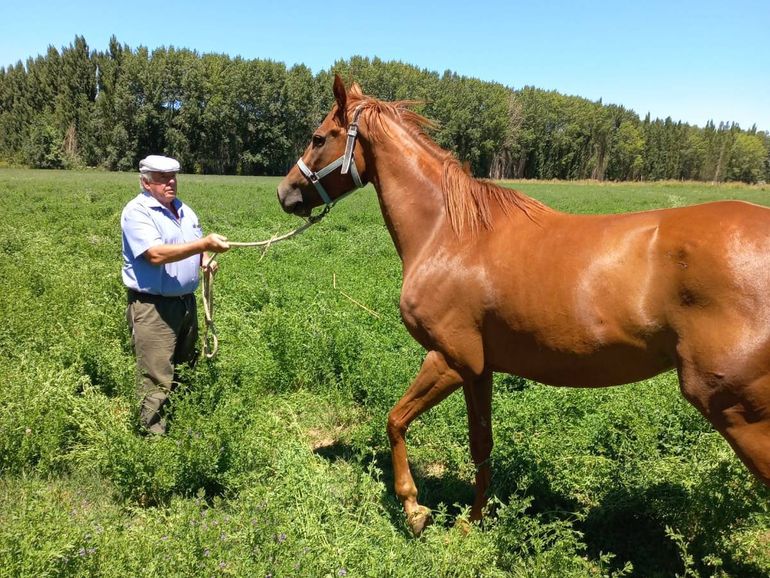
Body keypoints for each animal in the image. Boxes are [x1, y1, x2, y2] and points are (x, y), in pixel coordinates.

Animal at [278, 74, 770, 532]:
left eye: (319, 137)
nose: (285, 193)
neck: (450, 234)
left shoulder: (448, 359)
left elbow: (395, 421)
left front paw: (414, 508)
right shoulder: (478, 370)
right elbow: (481, 445)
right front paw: (472, 522)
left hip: (737, 411)